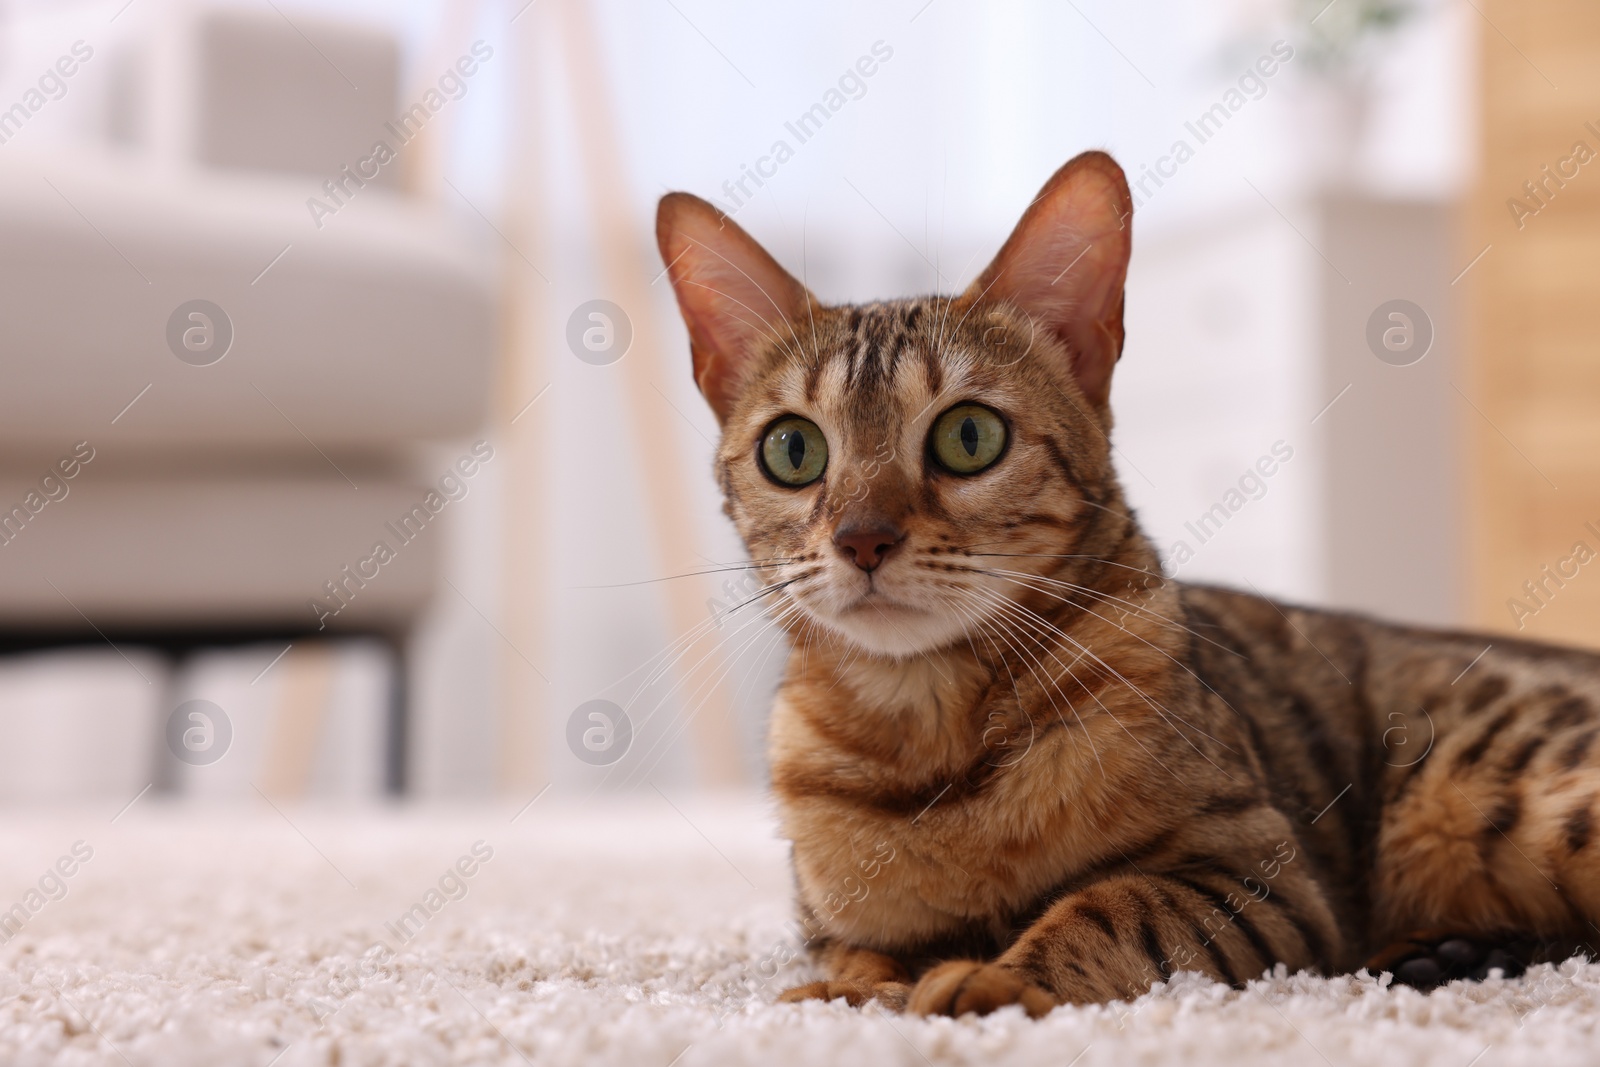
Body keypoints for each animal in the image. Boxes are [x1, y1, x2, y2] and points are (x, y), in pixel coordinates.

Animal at [649, 151, 1600, 1017]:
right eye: (793, 449)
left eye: (968, 436)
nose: (862, 537)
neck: (931, 742)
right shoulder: (834, 922)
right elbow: (854, 957)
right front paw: (848, 993)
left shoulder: (1260, 874)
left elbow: (1108, 908)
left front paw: (993, 979)